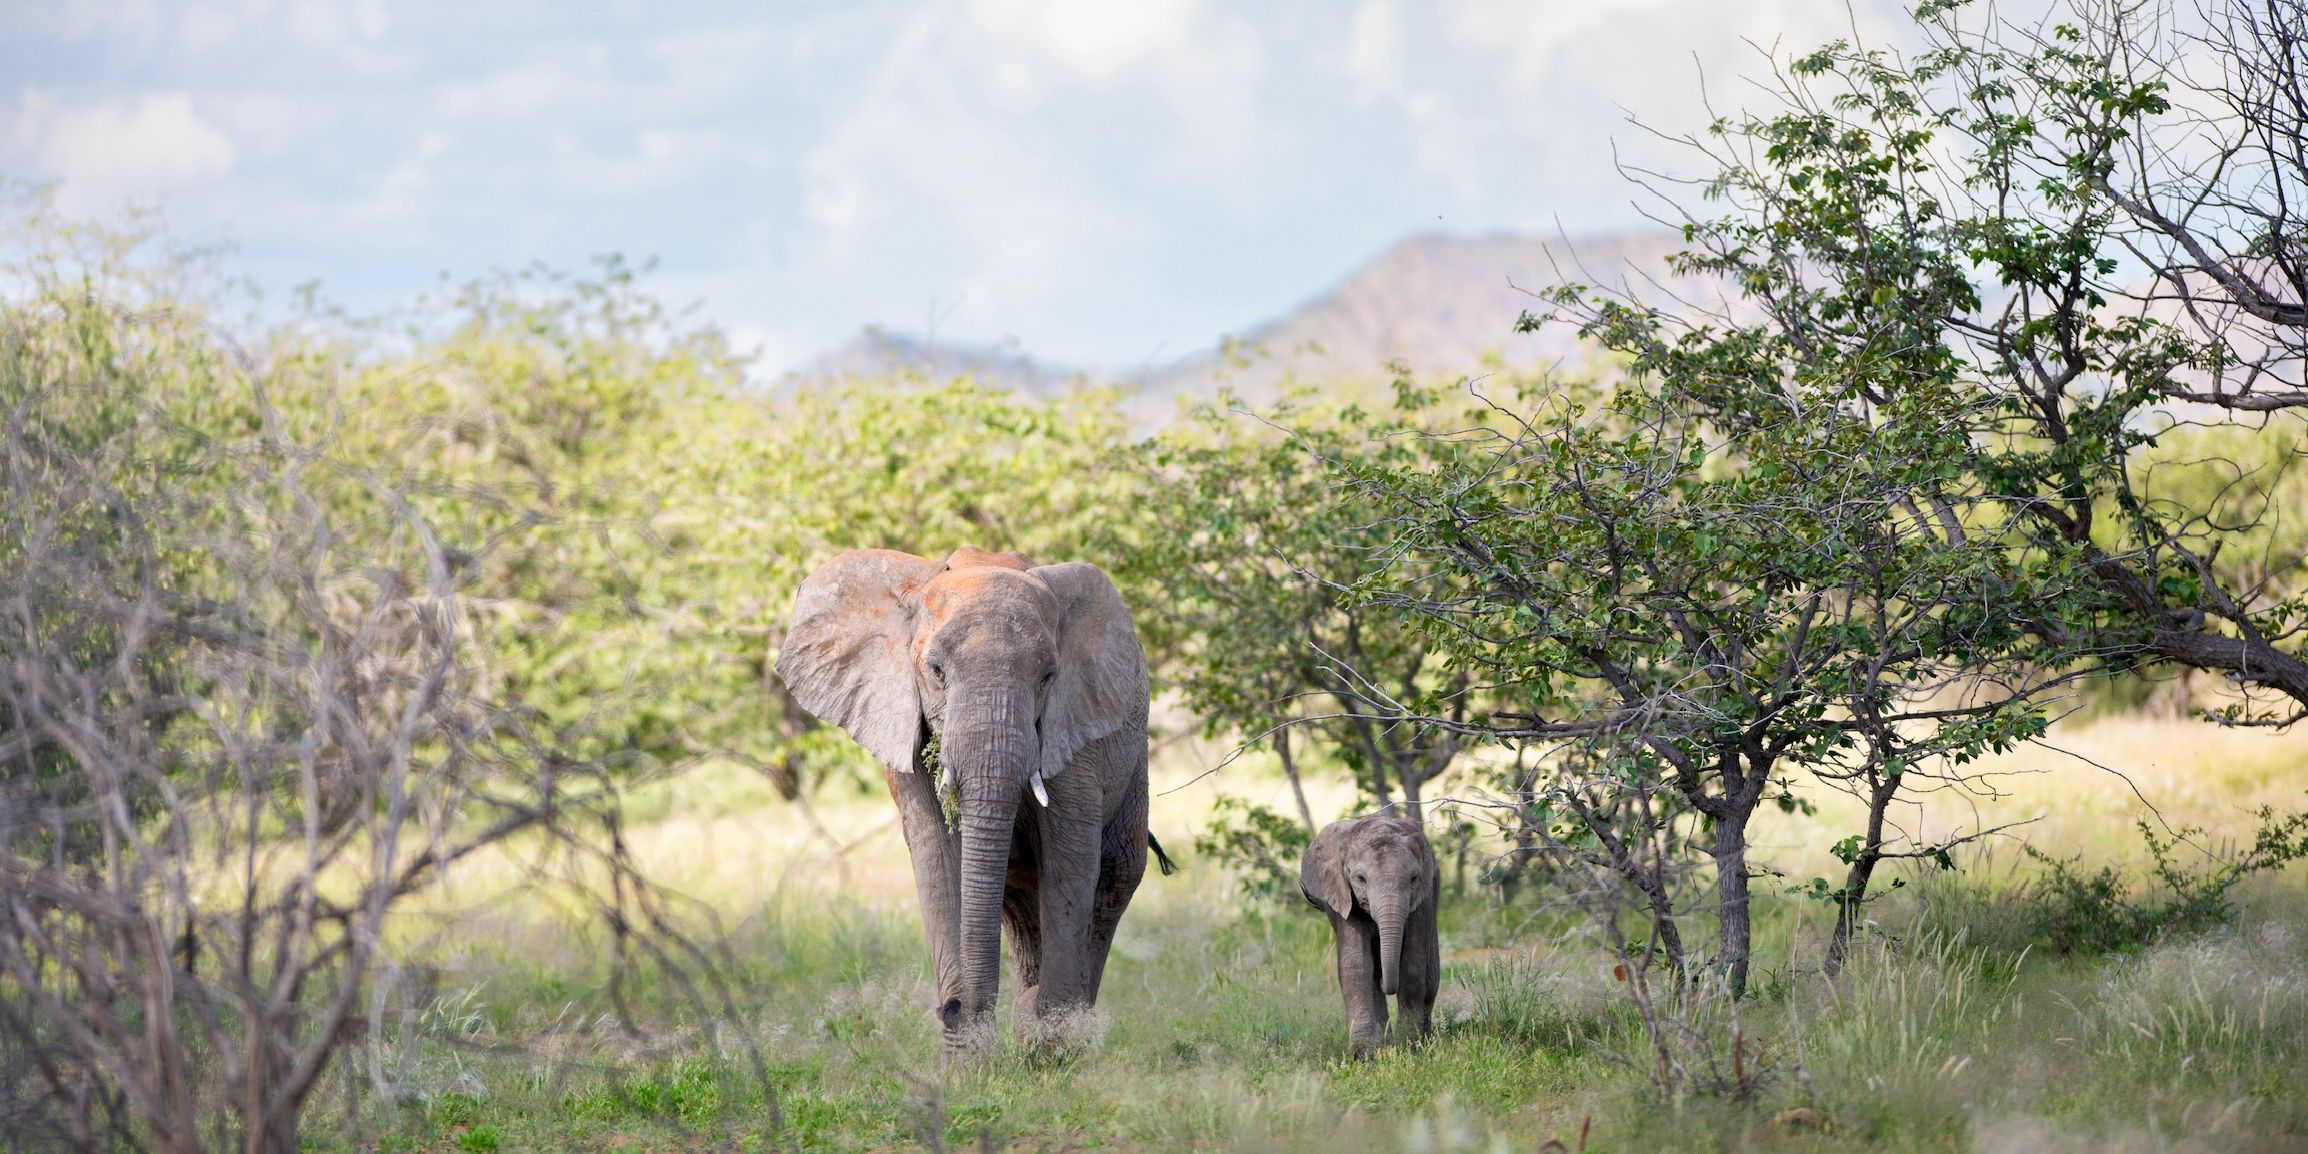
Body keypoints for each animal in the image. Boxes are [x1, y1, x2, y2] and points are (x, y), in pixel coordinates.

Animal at [777, 546, 1161, 1054]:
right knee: (1017, 901)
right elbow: (938, 858)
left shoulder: (1075, 729)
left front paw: (1049, 1043)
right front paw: (970, 1060)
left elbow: (1072, 861)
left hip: (1134, 756)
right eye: (935, 671)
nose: (954, 1010)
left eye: (1048, 676)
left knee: (1116, 874)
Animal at [1301, 814, 1440, 1053]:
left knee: (1431, 977)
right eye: (1360, 879)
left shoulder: (1423, 899)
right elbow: (1356, 963)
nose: (1386, 981)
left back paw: (1421, 1040)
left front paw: (1409, 1045)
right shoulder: (1342, 895)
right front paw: (1363, 1053)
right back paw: (1385, 1043)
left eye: (1414, 879)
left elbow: (1412, 963)